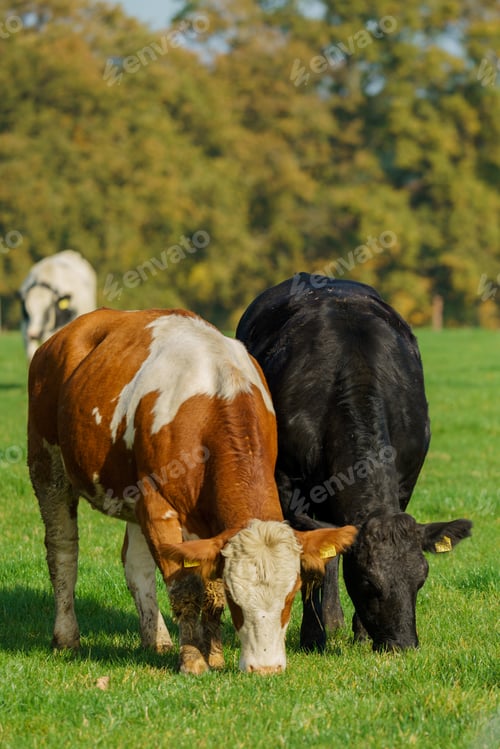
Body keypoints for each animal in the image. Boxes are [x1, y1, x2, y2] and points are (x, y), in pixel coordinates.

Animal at [27, 307, 357, 675]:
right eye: (238, 600)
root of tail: (63, 334)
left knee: (136, 566)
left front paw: (214, 655)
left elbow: (209, 590)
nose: (265, 668)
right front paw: (192, 660)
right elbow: (185, 588)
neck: (218, 399)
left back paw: (156, 639)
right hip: (47, 464)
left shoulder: (209, 525)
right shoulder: (158, 504)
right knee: (62, 551)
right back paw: (66, 636)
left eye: (291, 594)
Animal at [236, 273, 472, 653]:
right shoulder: (289, 486)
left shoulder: (405, 481)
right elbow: (312, 561)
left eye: (421, 579)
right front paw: (312, 637)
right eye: (368, 582)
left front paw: (360, 635)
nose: (403, 646)